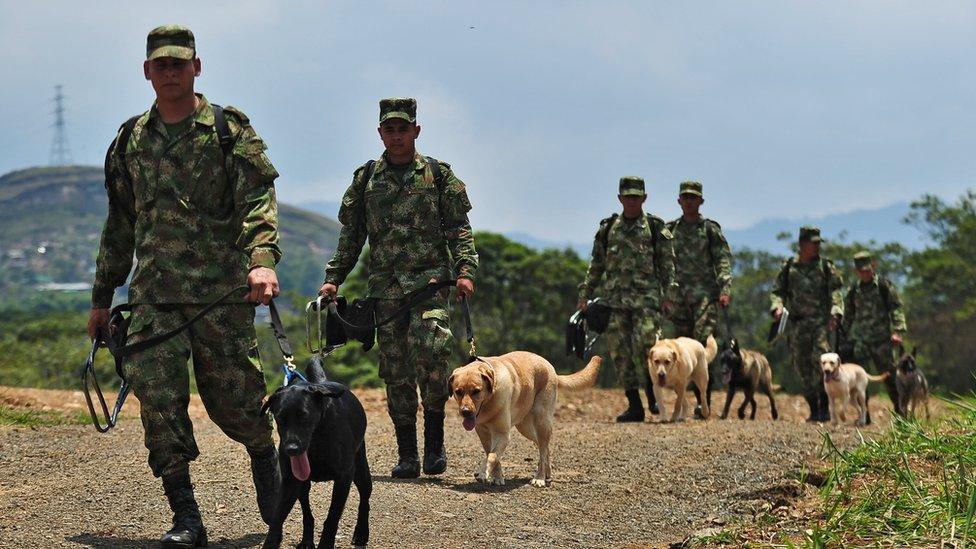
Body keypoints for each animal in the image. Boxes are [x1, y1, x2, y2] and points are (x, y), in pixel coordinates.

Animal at [262, 356, 372, 548]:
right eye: (280, 418)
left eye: (304, 416)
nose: (291, 449)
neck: (316, 440)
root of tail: (321, 382)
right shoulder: (290, 481)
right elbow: (278, 517)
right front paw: (271, 542)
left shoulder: (343, 478)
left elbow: (332, 518)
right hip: (303, 486)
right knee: (307, 513)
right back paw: (307, 540)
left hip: (361, 471)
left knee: (364, 499)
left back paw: (361, 532)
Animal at [452, 348, 604, 486]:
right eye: (458, 391)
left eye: (476, 391)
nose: (465, 411)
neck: (489, 402)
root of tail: (553, 371)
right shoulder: (483, 434)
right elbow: (493, 455)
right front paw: (497, 477)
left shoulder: (502, 434)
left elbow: (492, 456)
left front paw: (483, 472)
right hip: (525, 427)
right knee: (545, 448)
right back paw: (547, 473)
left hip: (542, 421)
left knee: (543, 450)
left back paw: (539, 478)